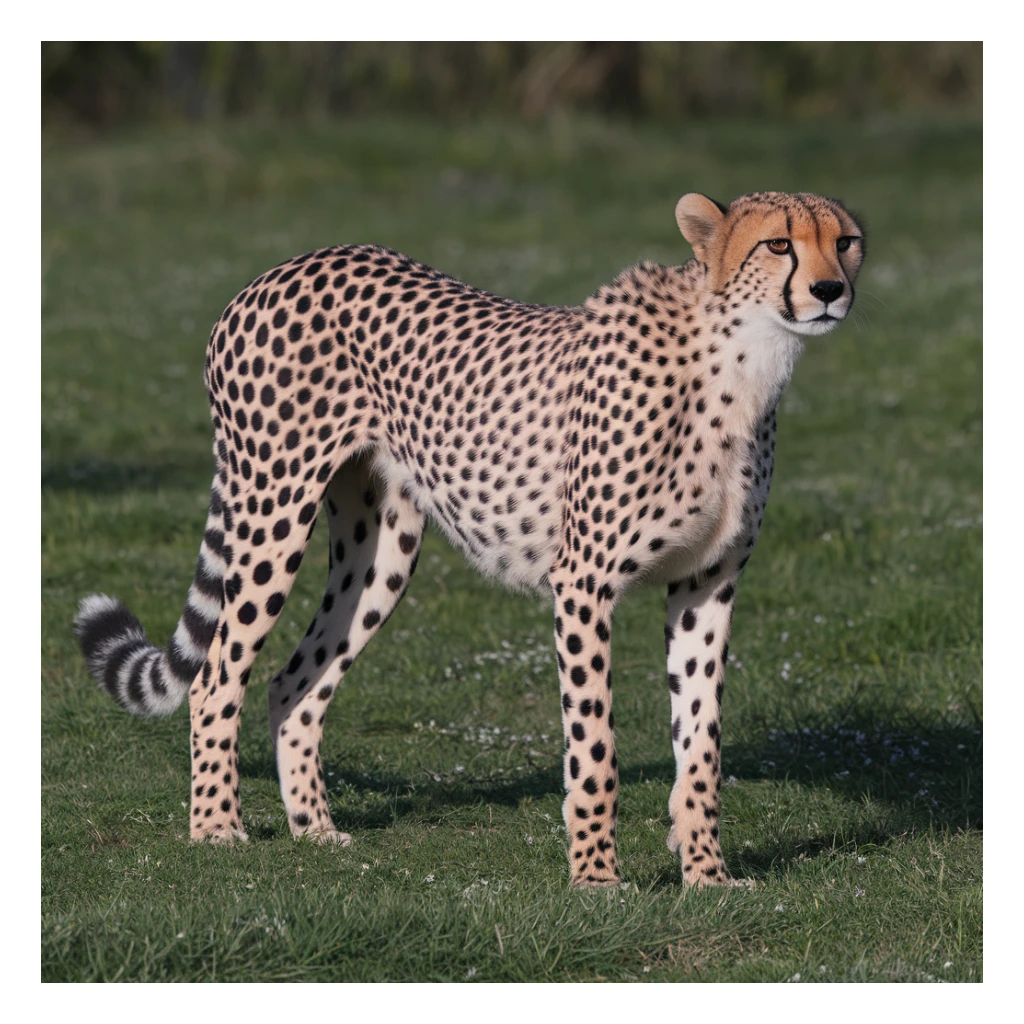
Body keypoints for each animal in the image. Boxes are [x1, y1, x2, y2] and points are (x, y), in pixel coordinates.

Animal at [74, 190, 865, 888]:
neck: (743, 362)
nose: (830, 289)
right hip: (273, 506)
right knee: (217, 676)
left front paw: (707, 876)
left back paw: (314, 829)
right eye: (778, 244)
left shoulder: (707, 583)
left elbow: (701, 747)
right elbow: (596, 748)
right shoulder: (584, 583)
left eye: (847, 241)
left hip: (381, 550)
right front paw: (596, 879)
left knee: (293, 681)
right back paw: (215, 828)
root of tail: (277, 270)